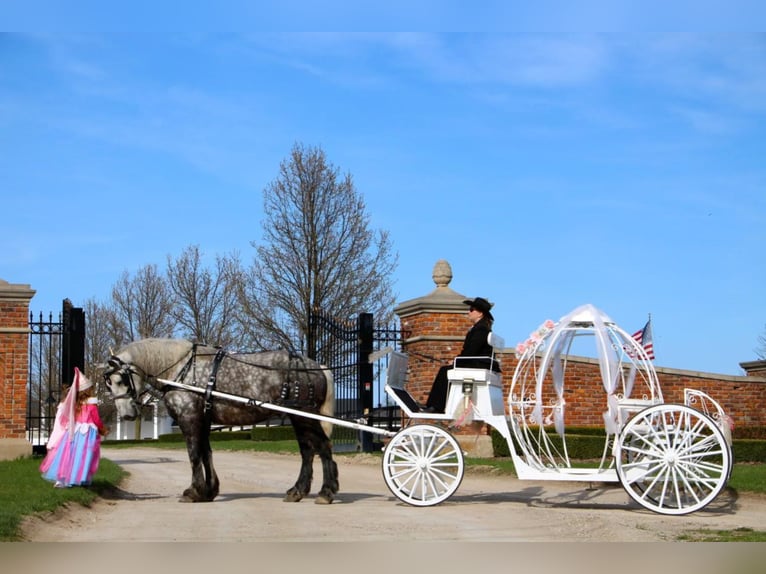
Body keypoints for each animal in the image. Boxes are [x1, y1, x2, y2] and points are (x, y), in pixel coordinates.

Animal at [103, 340, 340, 506]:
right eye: (108, 385)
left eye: (120, 380)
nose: (126, 414)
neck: (181, 369)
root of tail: (317, 366)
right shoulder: (204, 420)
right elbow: (206, 453)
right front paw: (209, 491)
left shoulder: (190, 418)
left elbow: (194, 454)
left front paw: (194, 491)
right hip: (300, 419)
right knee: (308, 450)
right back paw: (297, 491)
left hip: (304, 416)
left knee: (322, 447)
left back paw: (326, 492)